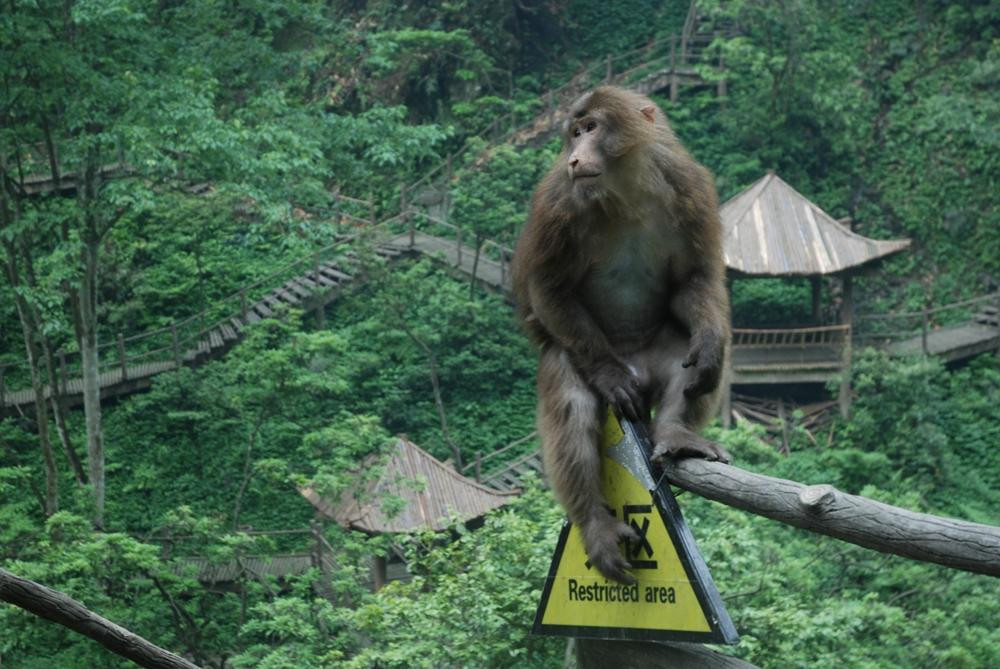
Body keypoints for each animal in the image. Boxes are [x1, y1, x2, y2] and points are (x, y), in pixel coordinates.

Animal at [512, 86, 732, 580]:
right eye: (575, 133)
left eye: (591, 128)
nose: (575, 156)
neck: (624, 191)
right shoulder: (559, 201)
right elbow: (549, 290)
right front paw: (609, 376)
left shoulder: (688, 185)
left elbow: (694, 279)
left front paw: (710, 341)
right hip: (585, 359)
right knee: (571, 393)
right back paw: (595, 522)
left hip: (656, 359)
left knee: (686, 360)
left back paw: (676, 433)